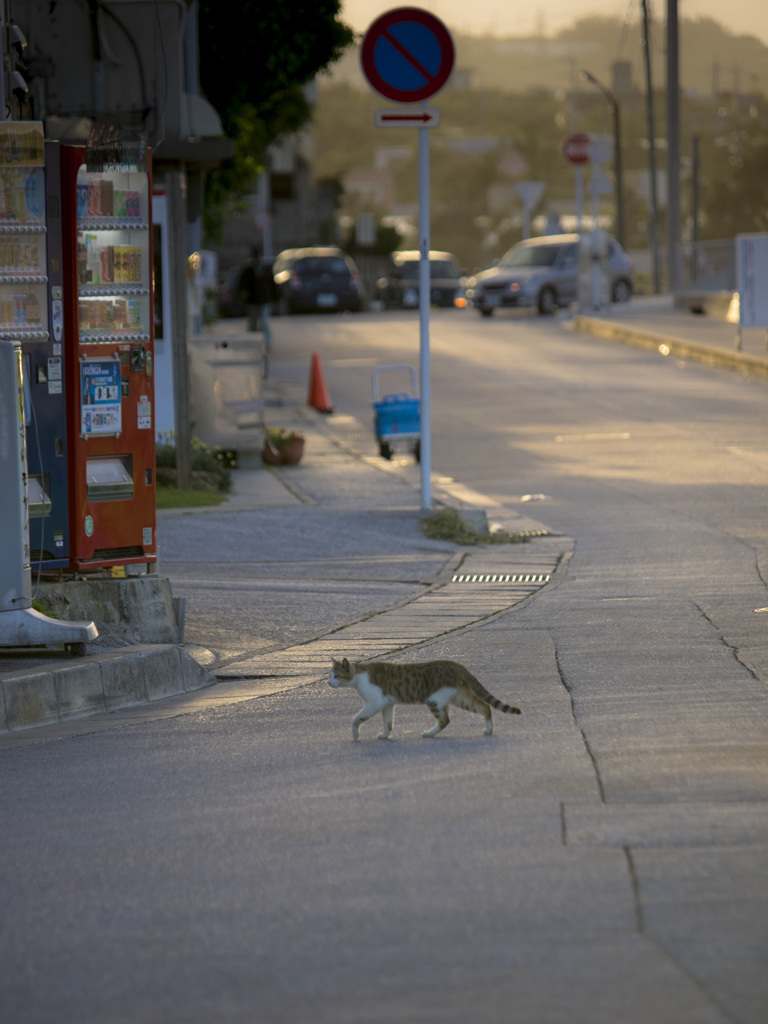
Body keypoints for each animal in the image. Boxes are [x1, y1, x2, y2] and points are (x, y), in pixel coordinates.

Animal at [329, 659, 524, 741]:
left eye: (336, 676)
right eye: (329, 675)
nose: (328, 682)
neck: (359, 675)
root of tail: (456, 665)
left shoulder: (374, 703)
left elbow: (356, 719)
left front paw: (355, 734)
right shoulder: (387, 704)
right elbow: (388, 722)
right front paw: (385, 735)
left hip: (434, 700)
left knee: (445, 720)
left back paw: (430, 733)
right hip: (460, 697)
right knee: (484, 706)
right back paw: (489, 729)